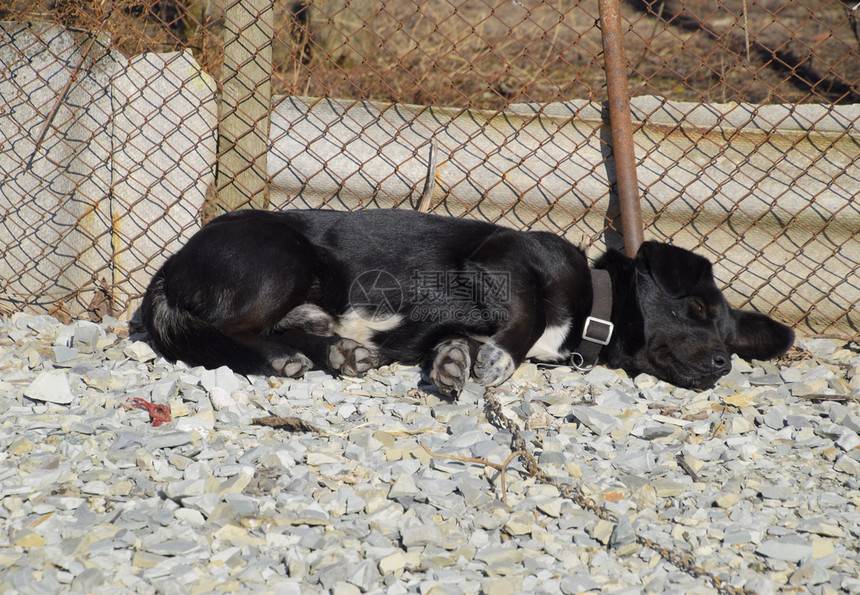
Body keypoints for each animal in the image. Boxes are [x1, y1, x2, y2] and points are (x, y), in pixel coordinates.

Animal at [139, 211, 792, 396]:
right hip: (285, 259)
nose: (723, 364)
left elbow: (453, 343)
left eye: (729, 339)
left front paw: (456, 359)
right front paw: (500, 358)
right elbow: (528, 312)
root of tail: (172, 266)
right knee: (227, 328)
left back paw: (341, 352)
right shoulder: (500, 257)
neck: (594, 308)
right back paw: (284, 358)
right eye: (697, 311)